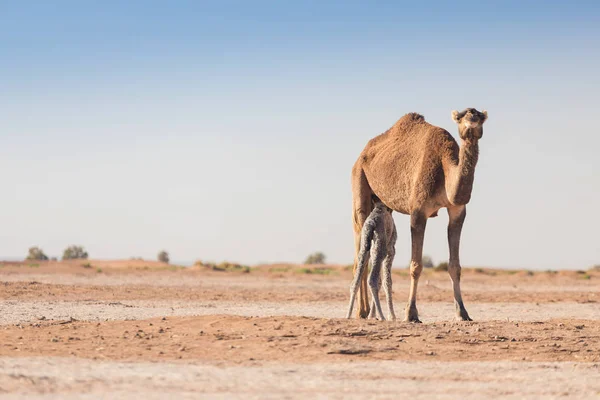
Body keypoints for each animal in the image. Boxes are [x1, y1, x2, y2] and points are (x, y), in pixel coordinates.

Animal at [352, 108, 488, 320]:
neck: (445, 168)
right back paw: (362, 311)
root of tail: (362, 154)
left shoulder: (457, 211)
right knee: (360, 252)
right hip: (359, 181)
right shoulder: (418, 211)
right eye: (461, 116)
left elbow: (455, 266)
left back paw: (372, 312)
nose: (472, 118)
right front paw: (411, 313)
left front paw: (462, 312)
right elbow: (416, 265)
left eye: (480, 116)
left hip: (385, 204)